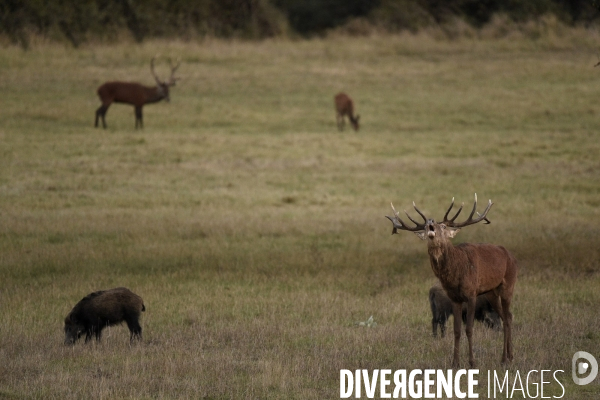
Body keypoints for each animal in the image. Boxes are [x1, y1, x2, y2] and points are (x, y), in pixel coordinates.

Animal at [386, 195, 516, 368]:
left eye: (443, 226)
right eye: (426, 227)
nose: (430, 221)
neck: (455, 275)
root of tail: (511, 255)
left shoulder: (471, 294)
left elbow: (469, 329)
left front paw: (472, 362)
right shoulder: (454, 298)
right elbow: (456, 330)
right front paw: (455, 362)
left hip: (508, 284)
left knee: (507, 317)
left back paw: (506, 358)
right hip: (491, 293)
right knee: (506, 316)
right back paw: (508, 357)